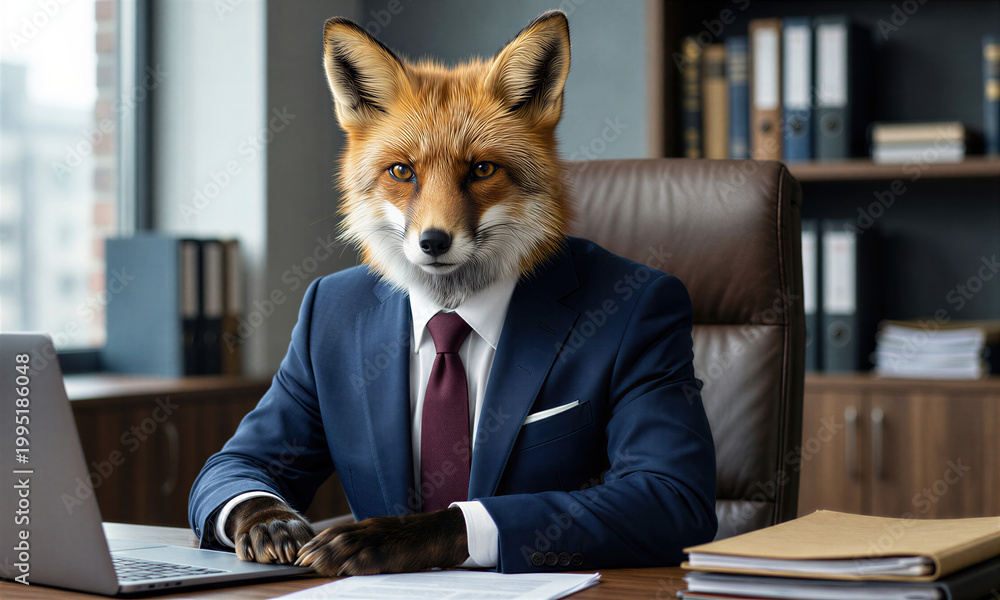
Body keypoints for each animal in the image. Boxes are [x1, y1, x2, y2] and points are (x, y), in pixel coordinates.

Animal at [225, 11, 575, 575]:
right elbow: (240, 460)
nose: (433, 241)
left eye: (481, 169)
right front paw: (271, 521)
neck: (452, 309)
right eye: (402, 171)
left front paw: (382, 537)